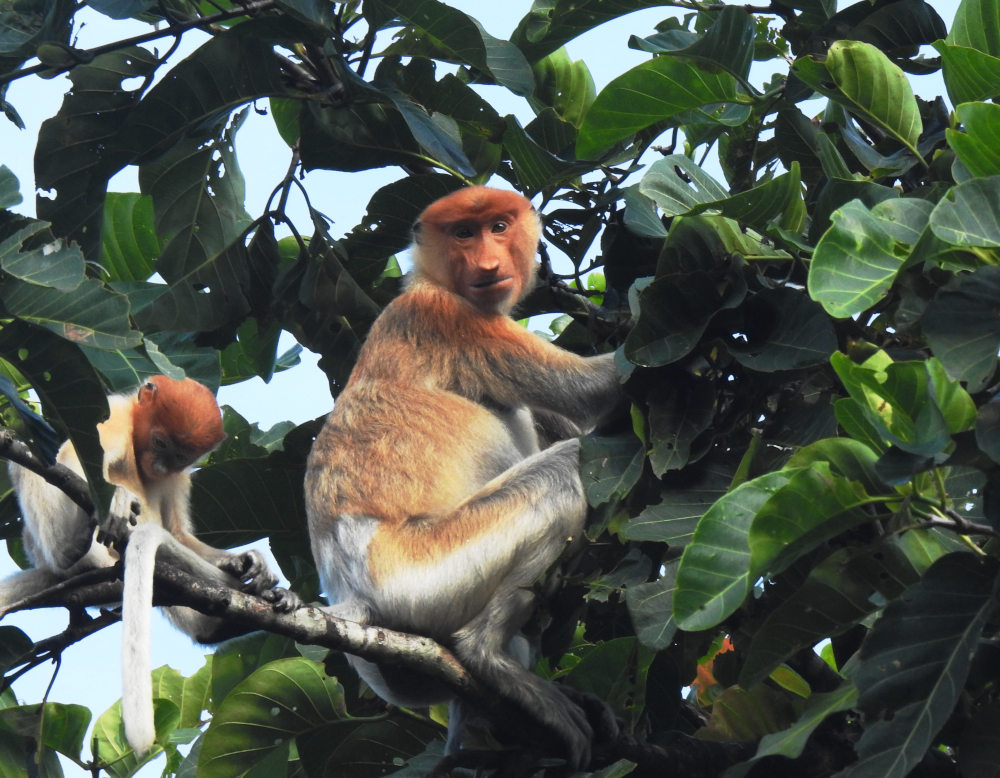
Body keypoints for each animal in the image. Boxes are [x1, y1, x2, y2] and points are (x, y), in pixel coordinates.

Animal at [304, 185, 620, 768]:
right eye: (463, 233)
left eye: (499, 226)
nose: (489, 265)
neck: (428, 281)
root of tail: (350, 596)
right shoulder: (451, 319)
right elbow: (598, 392)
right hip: (423, 574)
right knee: (564, 474)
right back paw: (490, 657)